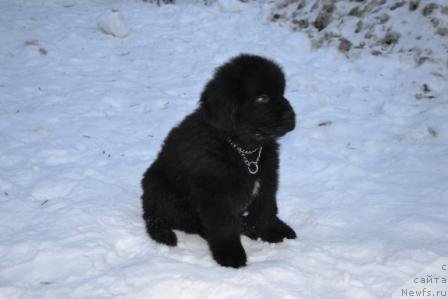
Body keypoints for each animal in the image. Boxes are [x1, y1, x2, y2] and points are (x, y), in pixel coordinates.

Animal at [143, 54, 298, 270]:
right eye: (262, 98)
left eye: (282, 93)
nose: (292, 116)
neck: (242, 149)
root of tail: (147, 208)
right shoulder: (215, 194)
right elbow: (224, 226)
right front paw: (231, 255)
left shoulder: (267, 177)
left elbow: (265, 209)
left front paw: (271, 231)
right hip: (162, 188)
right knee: (191, 222)